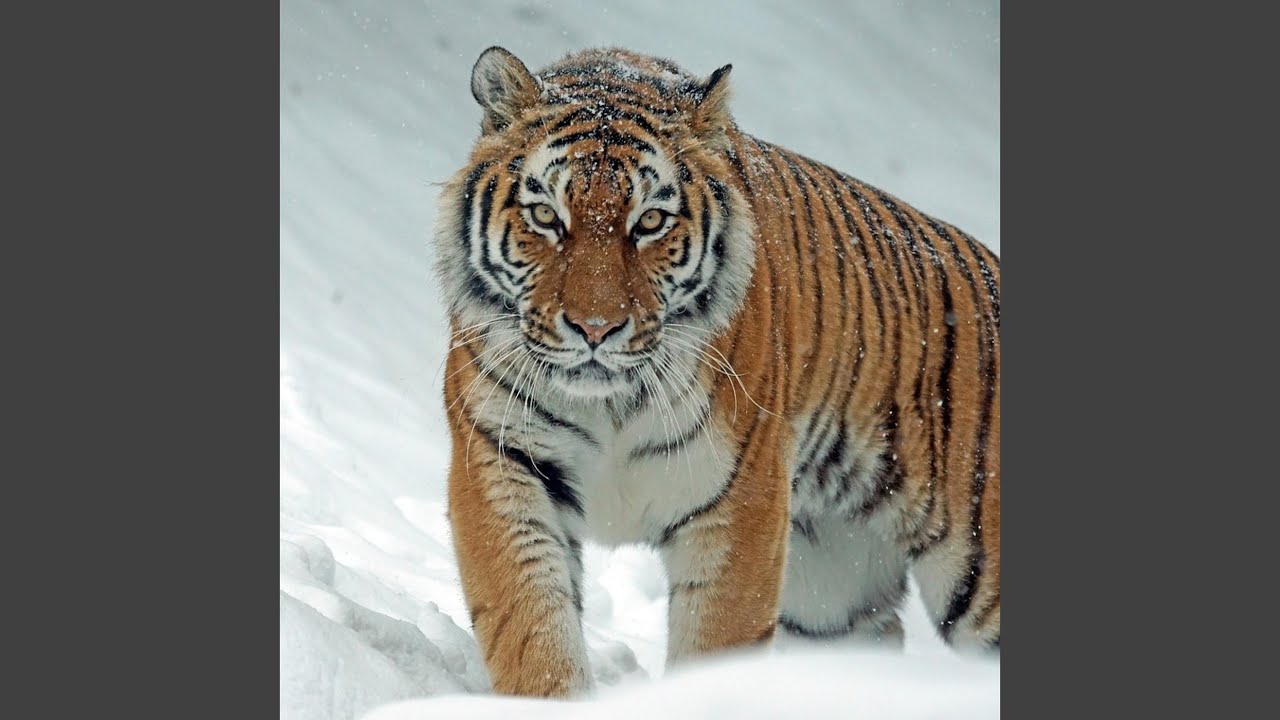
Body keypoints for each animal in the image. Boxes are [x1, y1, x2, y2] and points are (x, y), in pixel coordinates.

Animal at [434, 46, 1000, 698]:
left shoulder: (740, 500)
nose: (596, 329)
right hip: (831, 594)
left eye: (650, 222)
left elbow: (716, 641)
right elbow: (532, 630)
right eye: (547, 217)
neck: (610, 405)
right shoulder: (502, 464)